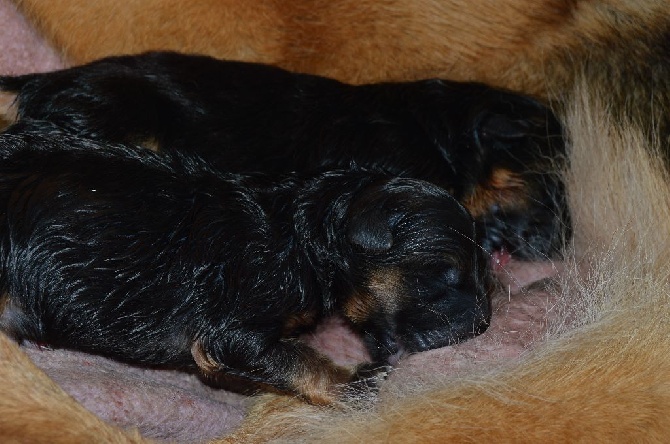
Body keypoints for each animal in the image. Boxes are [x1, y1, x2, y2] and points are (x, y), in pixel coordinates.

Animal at [0, 126, 494, 404]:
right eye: (446, 273)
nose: (485, 325)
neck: (301, 233)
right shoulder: (231, 329)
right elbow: (298, 359)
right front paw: (357, 384)